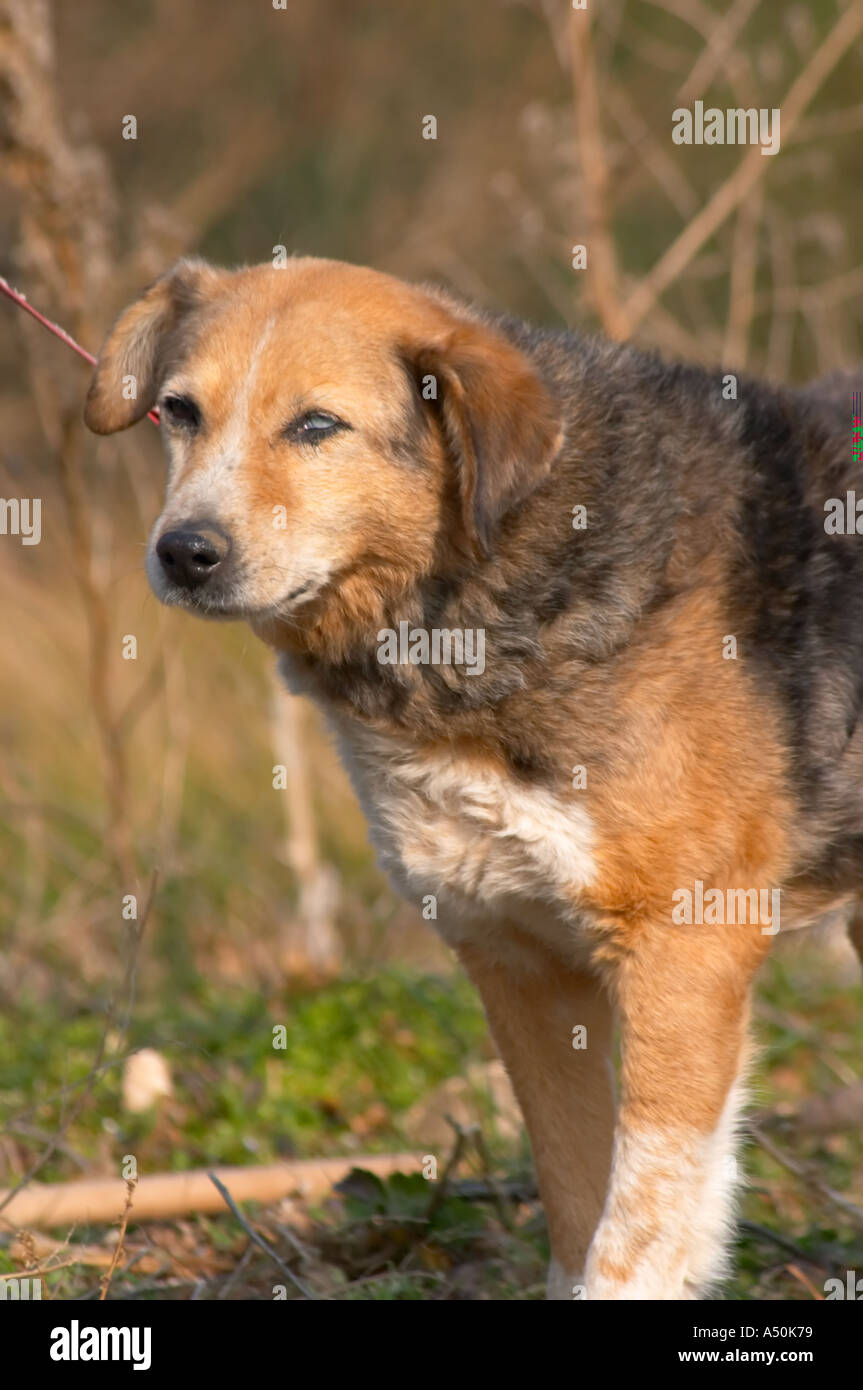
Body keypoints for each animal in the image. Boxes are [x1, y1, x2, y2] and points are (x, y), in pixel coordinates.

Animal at [85, 258, 861, 1301]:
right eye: (179, 411)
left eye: (316, 426)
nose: (183, 552)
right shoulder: (515, 958)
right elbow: (575, 1203)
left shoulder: (685, 948)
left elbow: (637, 1232)